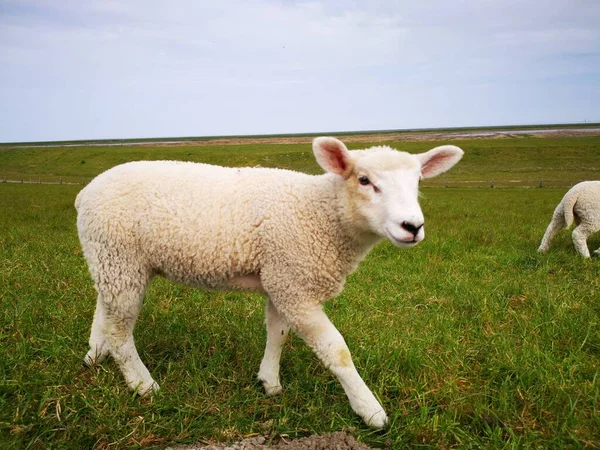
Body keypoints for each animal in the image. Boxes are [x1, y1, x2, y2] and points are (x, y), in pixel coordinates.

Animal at [72, 137, 462, 428]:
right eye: (364, 180)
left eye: (418, 183)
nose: (412, 226)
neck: (322, 214)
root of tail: (84, 193)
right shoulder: (295, 285)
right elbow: (336, 350)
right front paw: (370, 410)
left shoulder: (281, 278)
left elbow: (278, 334)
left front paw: (269, 382)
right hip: (119, 256)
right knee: (120, 331)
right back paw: (142, 384)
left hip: (113, 261)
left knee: (104, 308)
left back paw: (95, 354)